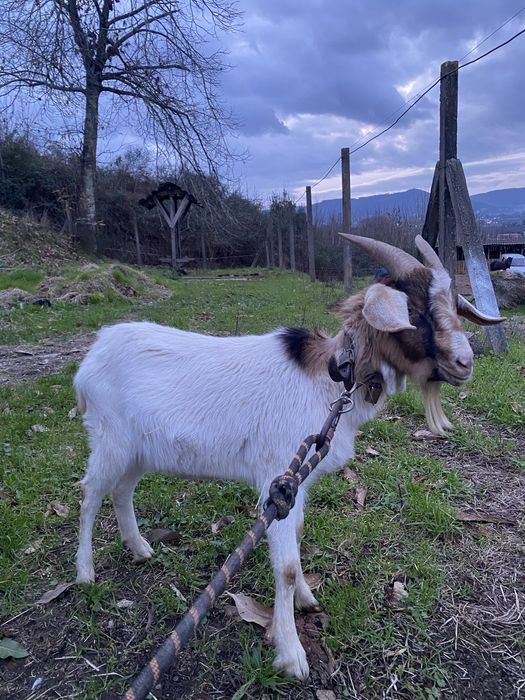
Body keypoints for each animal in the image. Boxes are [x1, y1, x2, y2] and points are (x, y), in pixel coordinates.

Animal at [74, 234, 503, 680]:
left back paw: (139, 547)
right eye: (415, 312)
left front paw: (305, 598)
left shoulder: (297, 484)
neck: (330, 386)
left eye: (453, 305)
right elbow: (286, 566)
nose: (464, 363)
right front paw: (291, 652)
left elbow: (295, 539)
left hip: (138, 451)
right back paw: (85, 573)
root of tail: (93, 355)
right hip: (109, 440)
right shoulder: (277, 477)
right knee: (89, 495)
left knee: (121, 492)